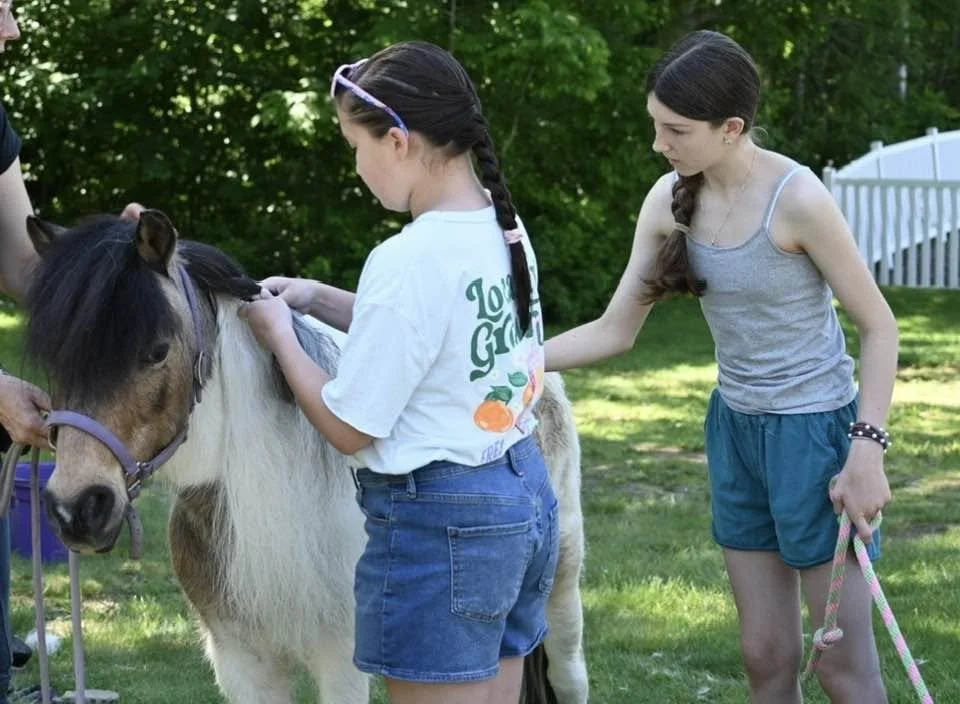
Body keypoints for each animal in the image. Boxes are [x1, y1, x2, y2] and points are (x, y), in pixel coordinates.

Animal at [22, 210, 589, 704]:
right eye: (53, 358)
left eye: (157, 350)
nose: (77, 508)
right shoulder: (243, 662)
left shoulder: (341, 660)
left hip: (562, 595)